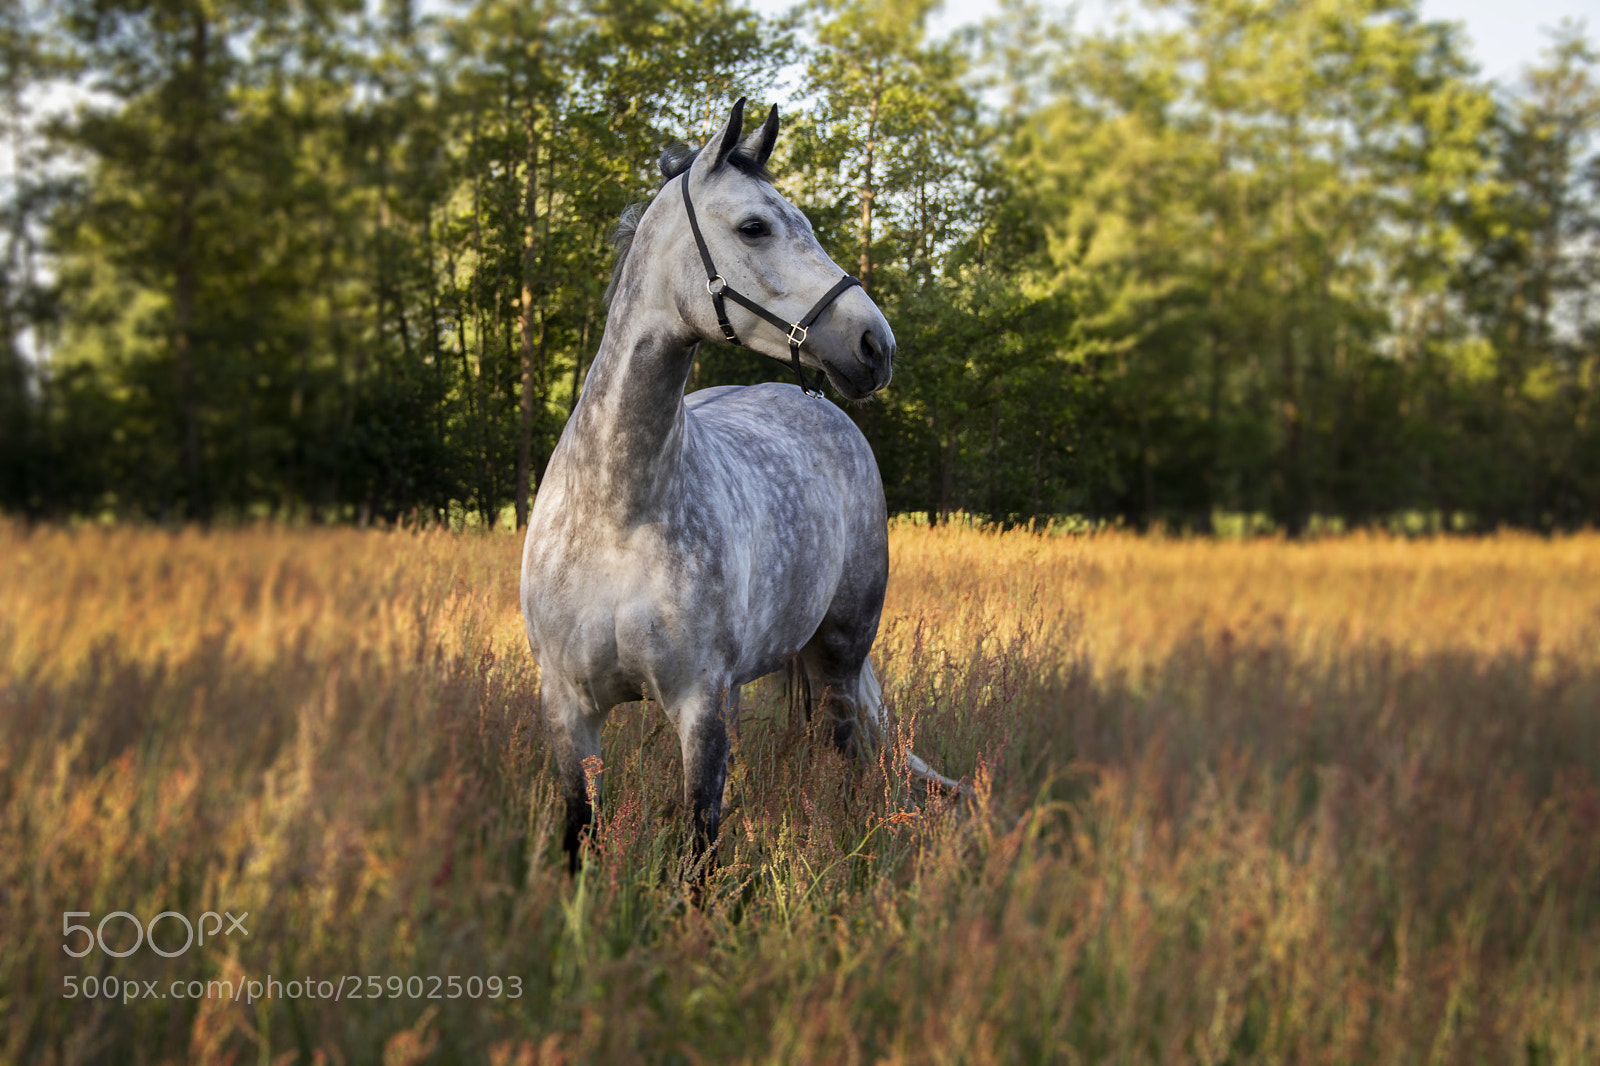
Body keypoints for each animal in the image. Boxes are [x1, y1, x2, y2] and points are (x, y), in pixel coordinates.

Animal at [520, 99, 959, 872]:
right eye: (754, 226)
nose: (876, 346)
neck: (617, 512)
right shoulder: (569, 709)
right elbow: (580, 831)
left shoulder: (702, 705)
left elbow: (700, 846)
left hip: (841, 656)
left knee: (843, 751)